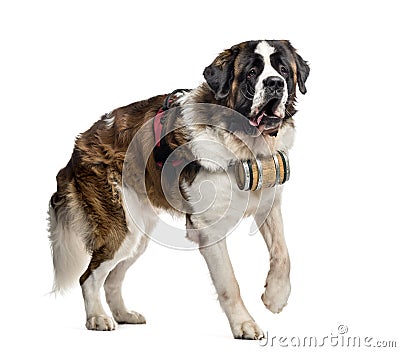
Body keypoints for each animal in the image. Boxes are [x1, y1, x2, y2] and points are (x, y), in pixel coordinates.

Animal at [47, 40, 310, 340]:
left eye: (283, 70)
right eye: (252, 73)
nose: (275, 83)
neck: (243, 145)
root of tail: (77, 147)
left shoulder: (268, 203)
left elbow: (283, 254)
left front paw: (276, 297)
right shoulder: (208, 229)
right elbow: (229, 282)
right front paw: (244, 324)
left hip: (138, 234)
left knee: (112, 277)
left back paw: (123, 314)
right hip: (120, 228)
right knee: (89, 276)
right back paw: (98, 318)